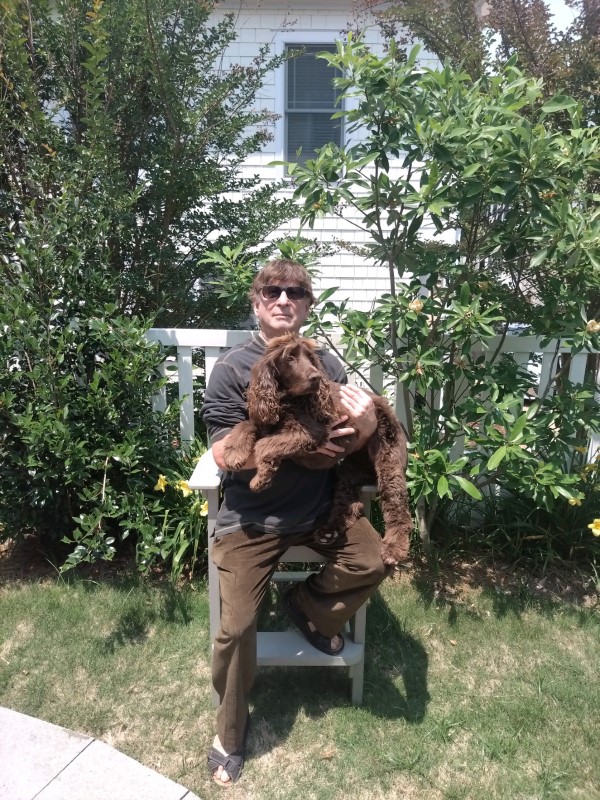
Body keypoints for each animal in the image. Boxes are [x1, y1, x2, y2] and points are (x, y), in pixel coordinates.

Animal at [223, 334, 414, 564]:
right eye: (290, 358)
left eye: (311, 359)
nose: (315, 377)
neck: (287, 400)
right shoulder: (266, 417)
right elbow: (245, 425)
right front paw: (233, 453)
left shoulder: (310, 433)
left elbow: (264, 445)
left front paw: (260, 479)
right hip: (348, 470)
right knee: (350, 502)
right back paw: (329, 532)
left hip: (388, 458)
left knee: (397, 506)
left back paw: (394, 549)